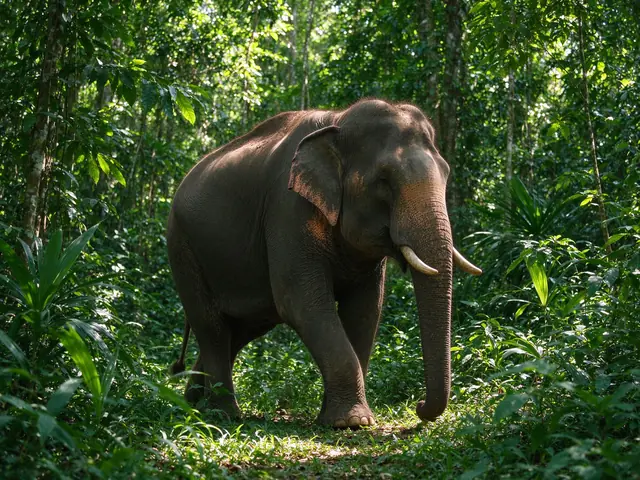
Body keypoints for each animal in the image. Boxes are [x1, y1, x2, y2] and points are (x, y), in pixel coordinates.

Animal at [167, 99, 481, 428]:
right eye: (383, 181)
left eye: (446, 174)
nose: (420, 406)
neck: (338, 120)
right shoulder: (287, 210)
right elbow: (302, 304)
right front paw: (352, 422)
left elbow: (365, 309)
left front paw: (334, 417)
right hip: (183, 248)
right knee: (211, 325)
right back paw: (223, 413)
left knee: (242, 328)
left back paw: (194, 401)